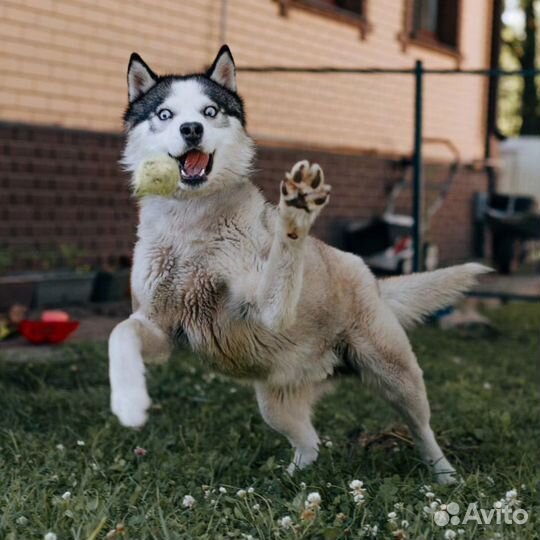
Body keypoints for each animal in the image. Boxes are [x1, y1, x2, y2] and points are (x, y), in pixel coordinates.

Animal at [110, 46, 490, 484]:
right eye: (165, 114)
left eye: (210, 111)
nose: (191, 129)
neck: (192, 225)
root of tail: (373, 280)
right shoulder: (158, 326)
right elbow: (120, 333)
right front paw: (129, 402)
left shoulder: (268, 311)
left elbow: (283, 256)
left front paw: (297, 212)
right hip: (274, 404)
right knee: (311, 443)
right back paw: (285, 480)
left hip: (397, 376)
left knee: (422, 428)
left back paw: (444, 475)